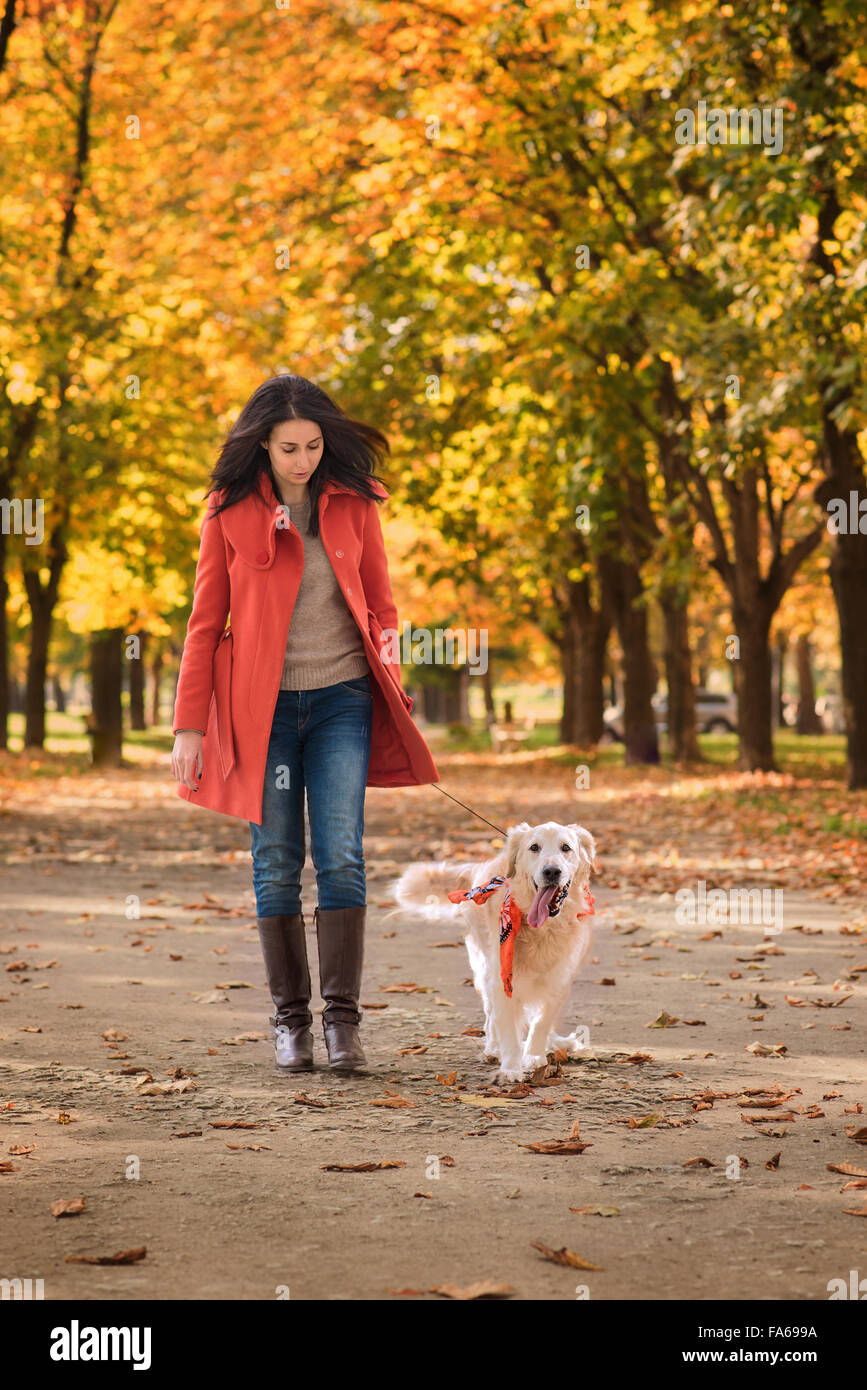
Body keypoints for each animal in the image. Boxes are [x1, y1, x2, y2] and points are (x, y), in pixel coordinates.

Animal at [391, 817, 594, 1078]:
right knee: (491, 1016)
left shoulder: (559, 978)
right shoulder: (503, 978)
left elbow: (541, 1021)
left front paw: (534, 1056)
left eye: (566, 848)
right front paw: (511, 1068)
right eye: (534, 847)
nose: (551, 871)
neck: (542, 929)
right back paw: (494, 1049)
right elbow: (507, 1027)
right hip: (484, 967)